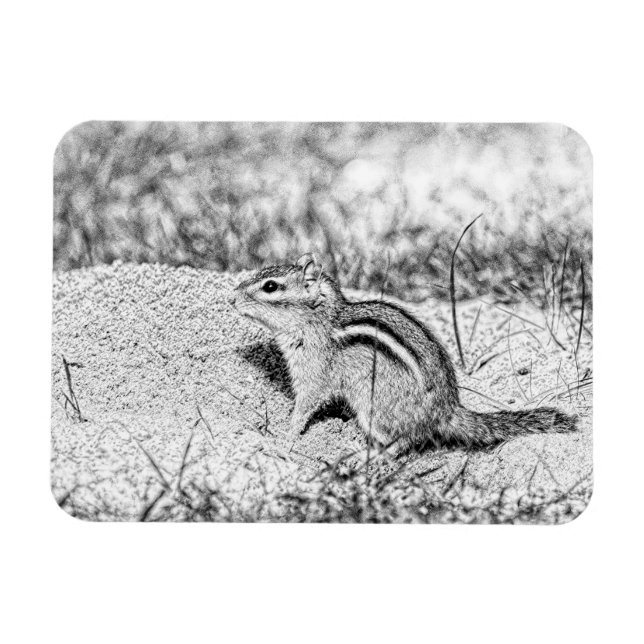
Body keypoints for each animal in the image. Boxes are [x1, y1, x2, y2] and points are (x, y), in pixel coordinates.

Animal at [233, 253, 576, 455]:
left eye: (271, 286)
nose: (232, 298)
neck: (319, 320)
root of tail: (446, 411)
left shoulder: (314, 374)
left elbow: (304, 407)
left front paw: (284, 437)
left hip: (373, 407)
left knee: (407, 441)